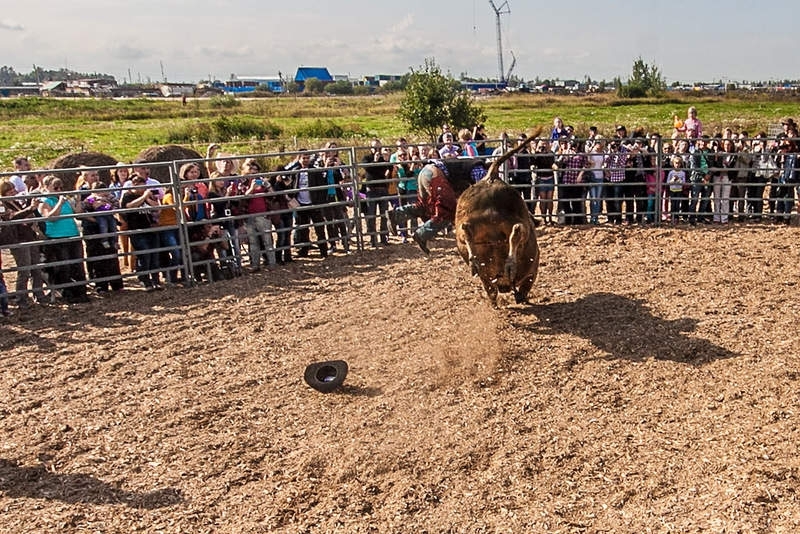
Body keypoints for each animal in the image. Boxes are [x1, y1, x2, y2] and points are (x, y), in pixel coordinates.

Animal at [454, 140, 540, 308]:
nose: (504, 288)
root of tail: (490, 178)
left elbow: (490, 288)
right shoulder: (532, 270)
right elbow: (525, 285)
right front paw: (520, 297)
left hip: (467, 222)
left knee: (466, 230)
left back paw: (476, 261)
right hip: (520, 222)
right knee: (518, 231)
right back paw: (510, 265)